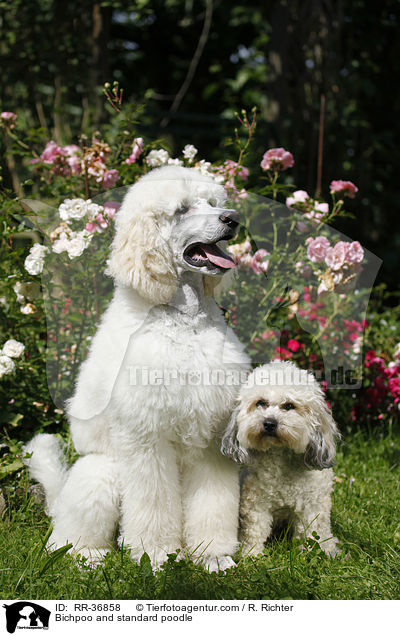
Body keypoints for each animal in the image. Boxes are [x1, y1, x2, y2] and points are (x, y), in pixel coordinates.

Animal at [23, 164, 250, 572]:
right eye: (182, 209)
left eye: (213, 202)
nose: (233, 219)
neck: (181, 320)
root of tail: (57, 503)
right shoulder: (146, 436)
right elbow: (152, 502)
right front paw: (156, 555)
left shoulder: (211, 436)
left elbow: (213, 500)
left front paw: (211, 553)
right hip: (99, 474)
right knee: (64, 541)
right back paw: (90, 556)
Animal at [222, 362, 340, 556]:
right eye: (261, 403)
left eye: (289, 405)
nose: (269, 423)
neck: (281, 455)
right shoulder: (256, 504)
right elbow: (255, 531)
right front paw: (251, 555)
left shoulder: (311, 507)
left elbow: (310, 533)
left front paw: (307, 555)